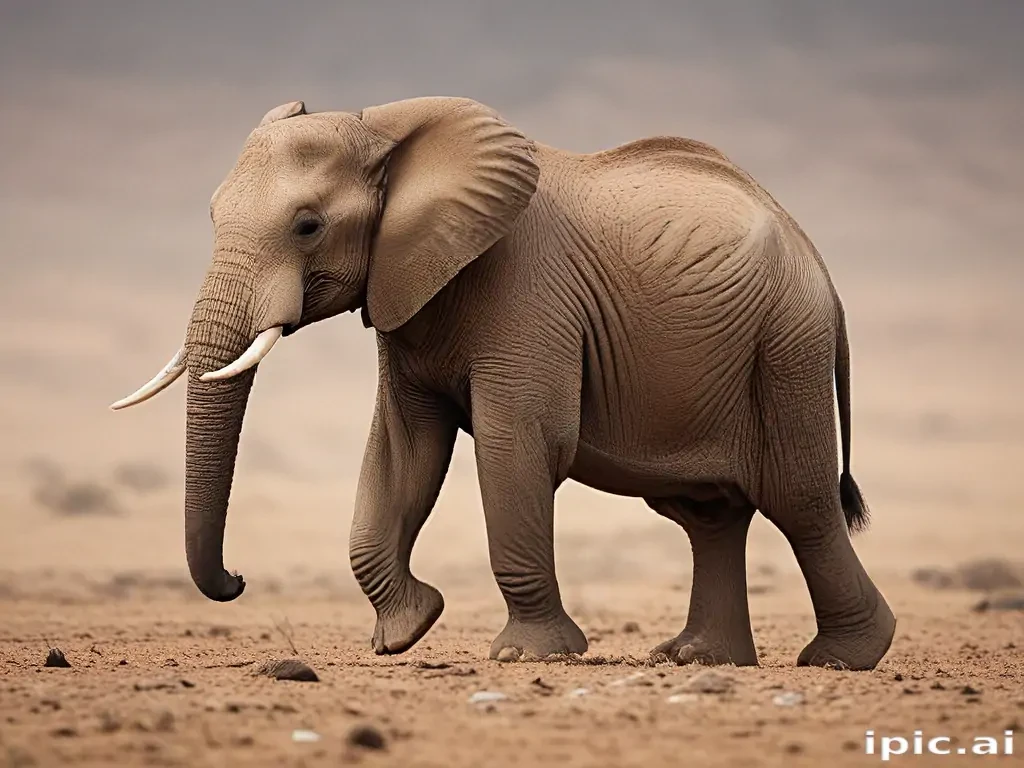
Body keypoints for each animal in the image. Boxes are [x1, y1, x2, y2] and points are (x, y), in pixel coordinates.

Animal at [112, 96, 896, 671]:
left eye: (307, 226)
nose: (237, 581)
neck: (386, 129)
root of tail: (816, 259)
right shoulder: (408, 293)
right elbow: (404, 452)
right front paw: (406, 634)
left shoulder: (527, 290)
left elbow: (517, 445)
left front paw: (527, 656)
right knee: (709, 513)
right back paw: (696, 659)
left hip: (785, 345)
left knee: (798, 500)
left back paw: (842, 660)